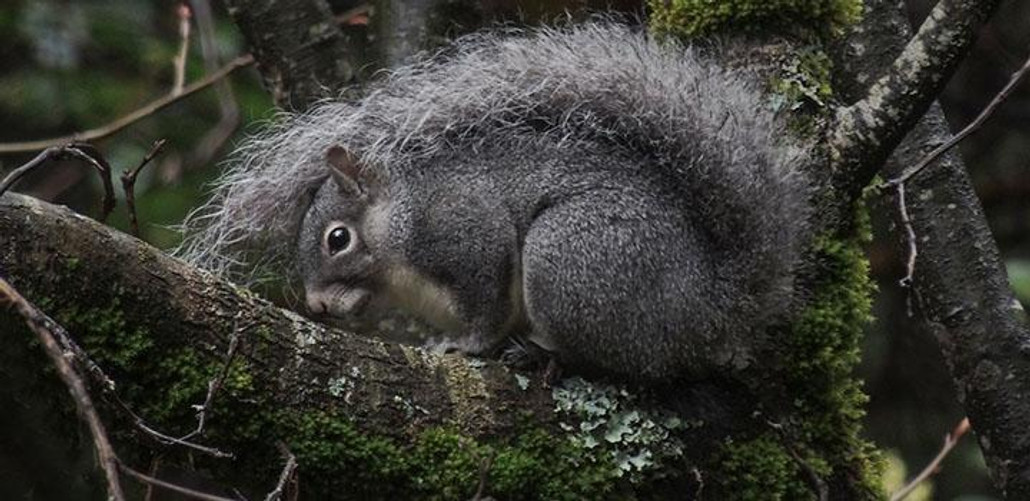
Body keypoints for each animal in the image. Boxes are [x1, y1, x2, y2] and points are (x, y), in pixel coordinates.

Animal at [183, 21, 811, 381]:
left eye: (338, 239)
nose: (314, 305)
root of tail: (709, 307)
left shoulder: (464, 234)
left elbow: (484, 305)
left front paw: (467, 347)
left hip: (572, 258)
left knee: (617, 360)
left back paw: (541, 354)